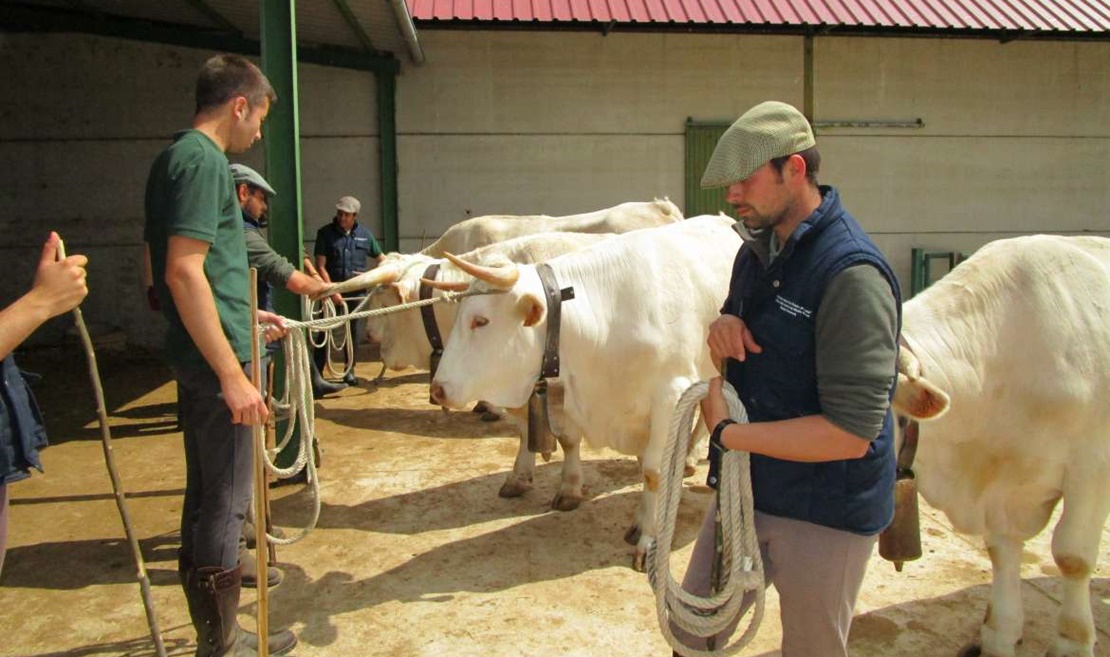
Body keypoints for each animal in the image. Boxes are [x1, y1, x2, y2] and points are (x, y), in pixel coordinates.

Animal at [428, 216, 741, 568]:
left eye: (480, 321)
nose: (437, 389)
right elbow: (572, 442)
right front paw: (578, 493)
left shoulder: (670, 393)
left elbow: (653, 470)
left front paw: (649, 538)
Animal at [892, 235, 1110, 656]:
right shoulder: (999, 490)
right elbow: (1001, 550)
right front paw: (1001, 630)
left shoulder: (1092, 469)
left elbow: (1073, 556)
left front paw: (1072, 640)